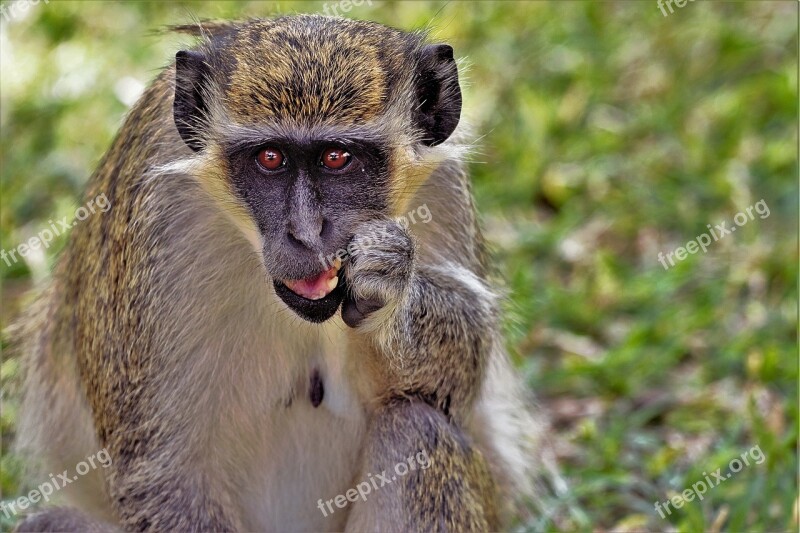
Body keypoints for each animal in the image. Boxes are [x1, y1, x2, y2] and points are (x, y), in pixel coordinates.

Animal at [10, 14, 556, 528]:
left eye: (338, 158)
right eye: (270, 158)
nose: (306, 233)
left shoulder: (442, 186)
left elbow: (465, 366)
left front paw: (390, 285)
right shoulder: (153, 216)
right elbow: (161, 471)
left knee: (415, 429)